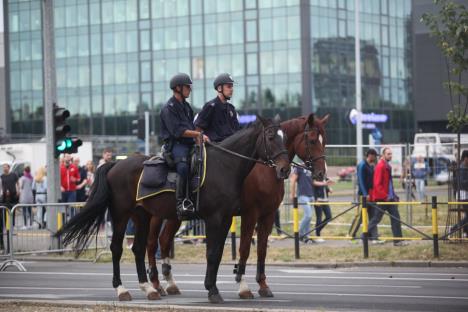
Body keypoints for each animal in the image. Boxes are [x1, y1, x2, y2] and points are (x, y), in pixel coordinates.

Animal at [56, 116, 290, 302]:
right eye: (271, 137)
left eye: (284, 137)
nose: (285, 169)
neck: (225, 166)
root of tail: (115, 163)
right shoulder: (220, 218)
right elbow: (215, 253)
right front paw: (214, 290)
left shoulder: (227, 219)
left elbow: (220, 253)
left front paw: (218, 287)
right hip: (122, 214)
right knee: (118, 248)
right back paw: (123, 289)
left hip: (143, 215)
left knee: (140, 248)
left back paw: (150, 288)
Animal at [146, 114, 330, 298]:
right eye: (312, 140)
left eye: (324, 140)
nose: (321, 173)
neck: (264, 172)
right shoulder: (250, 214)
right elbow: (244, 248)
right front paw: (243, 286)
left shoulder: (268, 215)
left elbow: (261, 249)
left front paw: (263, 284)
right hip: (156, 216)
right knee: (152, 243)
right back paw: (155, 284)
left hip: (174, 216)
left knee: (164, 240)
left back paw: (169, 283)